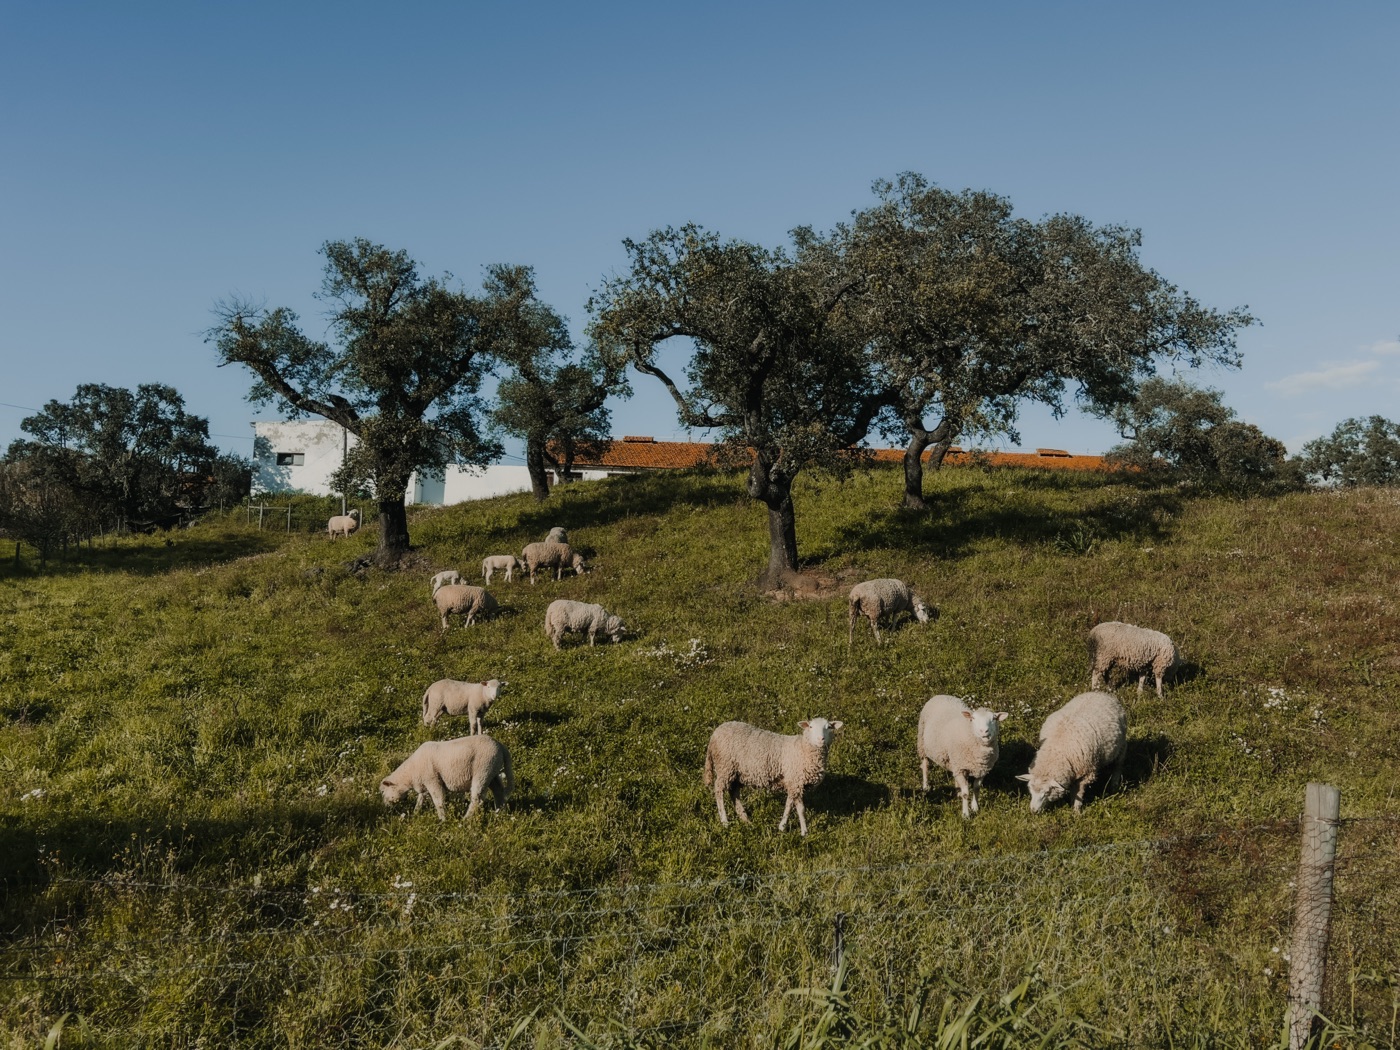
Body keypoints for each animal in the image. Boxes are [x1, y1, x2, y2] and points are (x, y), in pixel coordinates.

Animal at [379, 735, 513, 820]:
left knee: (477, 798)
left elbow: (438, 801)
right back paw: (499, 812)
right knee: (498, 790)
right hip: (492, 771)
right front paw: (416, 813)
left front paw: (442, 819)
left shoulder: (432, 780)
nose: (385, 807)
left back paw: (465, 819)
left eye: (383, 792)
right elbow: (421, 798)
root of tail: (501, 746)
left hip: (483, 769)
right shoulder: (425, 783)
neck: (411, 773)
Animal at [702, 718, 843, 836]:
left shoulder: (793, 782)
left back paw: (745, 819)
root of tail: (715, 733)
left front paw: (783, 826)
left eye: (829, 727)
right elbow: (801, 808)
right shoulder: (796, 780)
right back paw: (724, 821)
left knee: (733, 792)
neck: (803, 749)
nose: (821, 739)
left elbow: (789, 804)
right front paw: (804, 831)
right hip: (725, 767)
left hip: (736, 773)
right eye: (811, 727)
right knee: (719, 790)